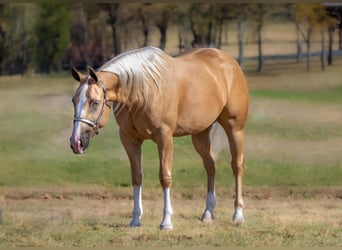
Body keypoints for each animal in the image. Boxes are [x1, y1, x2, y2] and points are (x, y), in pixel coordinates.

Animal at [69, 46, 248, 229]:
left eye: (95, 102)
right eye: (74, 101)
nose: (76, 143)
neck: (143, 90)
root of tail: (229, 61)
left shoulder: (164, 137)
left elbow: (165, 177)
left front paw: (166, 222)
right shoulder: (129, 139)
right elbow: (136, 177)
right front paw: (135, 219)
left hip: (235, 129)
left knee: (237, 165)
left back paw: (238, 214)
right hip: (200, 133)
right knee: (210, 165)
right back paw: (208, 213)